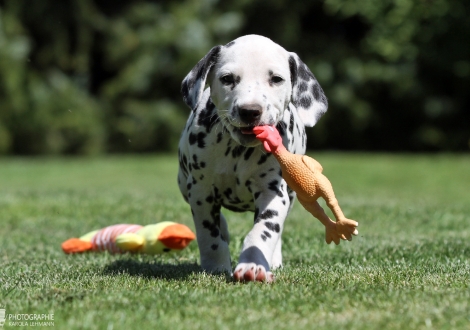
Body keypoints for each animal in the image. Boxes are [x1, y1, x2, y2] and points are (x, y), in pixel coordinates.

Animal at [178, 34, 328, 282]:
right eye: (227, 78)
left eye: (276, 79)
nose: (250, 111)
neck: (238, 151)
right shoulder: (201, 192)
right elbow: (209, 235)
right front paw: (216, 266)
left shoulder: (273, 193)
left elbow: (263, 231)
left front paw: (253, 265)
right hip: (184, 184)